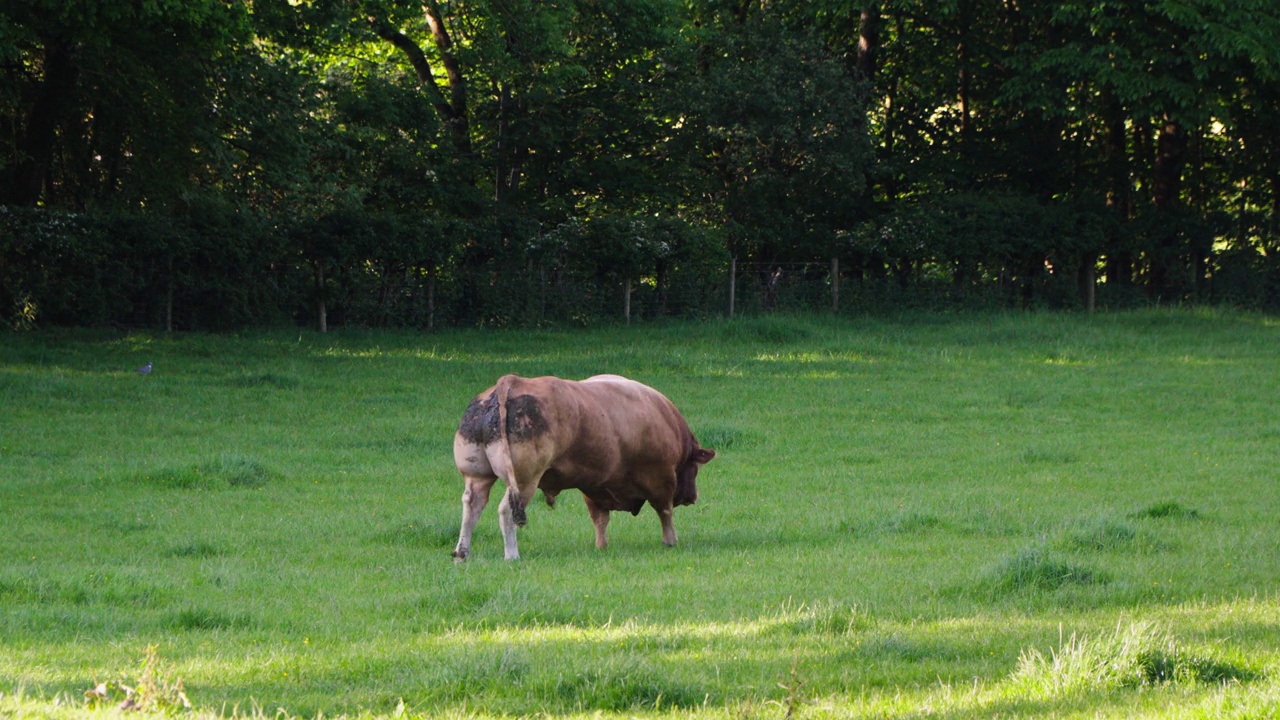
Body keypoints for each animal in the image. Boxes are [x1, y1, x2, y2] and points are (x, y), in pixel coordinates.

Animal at [450, 371, 716, 558]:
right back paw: (512, 555)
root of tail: (512, 383)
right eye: (695, 468)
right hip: (525, 481)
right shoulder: (661, 478)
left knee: (472, 506)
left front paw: (601, 546)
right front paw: (670, 541)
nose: (693, 496)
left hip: (476, 476)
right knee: (506, 510)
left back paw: (462, 553)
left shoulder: (594, 486)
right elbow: (665, 512)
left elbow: (600, 519)